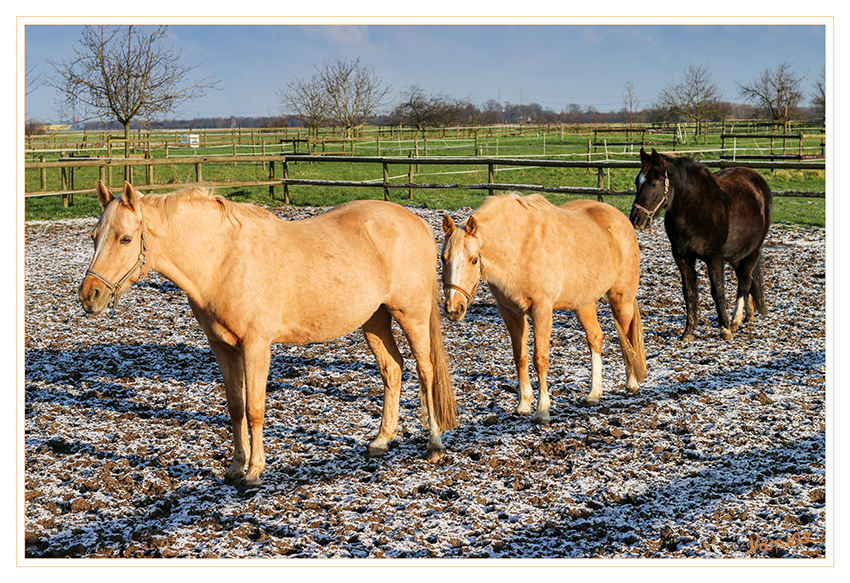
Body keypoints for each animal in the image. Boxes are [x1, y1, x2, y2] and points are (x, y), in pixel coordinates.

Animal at [78, 182, 458, 488]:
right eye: (95, 237)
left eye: (125, 238)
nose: (89, 296)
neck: (223, 261)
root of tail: (415, 222)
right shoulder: (222, 348)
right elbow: (235, 407)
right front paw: (235, 467)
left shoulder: (256, 346)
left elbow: (255, 408)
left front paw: (254, 471)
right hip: (374, 320)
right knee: (392, 369)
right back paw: (381, 440)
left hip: (411, 315)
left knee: (425, 371)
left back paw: (434, 445)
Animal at [440, 194, 644, 418]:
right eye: (443, 258)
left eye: (474, 260)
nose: (454, 308)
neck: (519, 246)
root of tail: (620, 218)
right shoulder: (510, 313)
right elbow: (520, 357)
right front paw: (523, 404)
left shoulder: (542, 310)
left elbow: (540, 358)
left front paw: (542, 409)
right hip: (583, 304)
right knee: (595, 337)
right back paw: (594, 393)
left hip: (621, 300)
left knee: (627, 338)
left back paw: (632, 382)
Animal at [628, 148, 768, 342]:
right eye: (637, 181)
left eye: (654, 184)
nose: (636, 219)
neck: (695, 209)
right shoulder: (682, 257)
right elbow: (689, 293)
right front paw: (689, 331)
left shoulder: (715, 258)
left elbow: (718, 291)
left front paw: (724, 329)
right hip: (736, 254)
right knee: (745, 279)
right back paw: (748, 315)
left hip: (751, 251)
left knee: (745, 281)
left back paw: (735, 320)